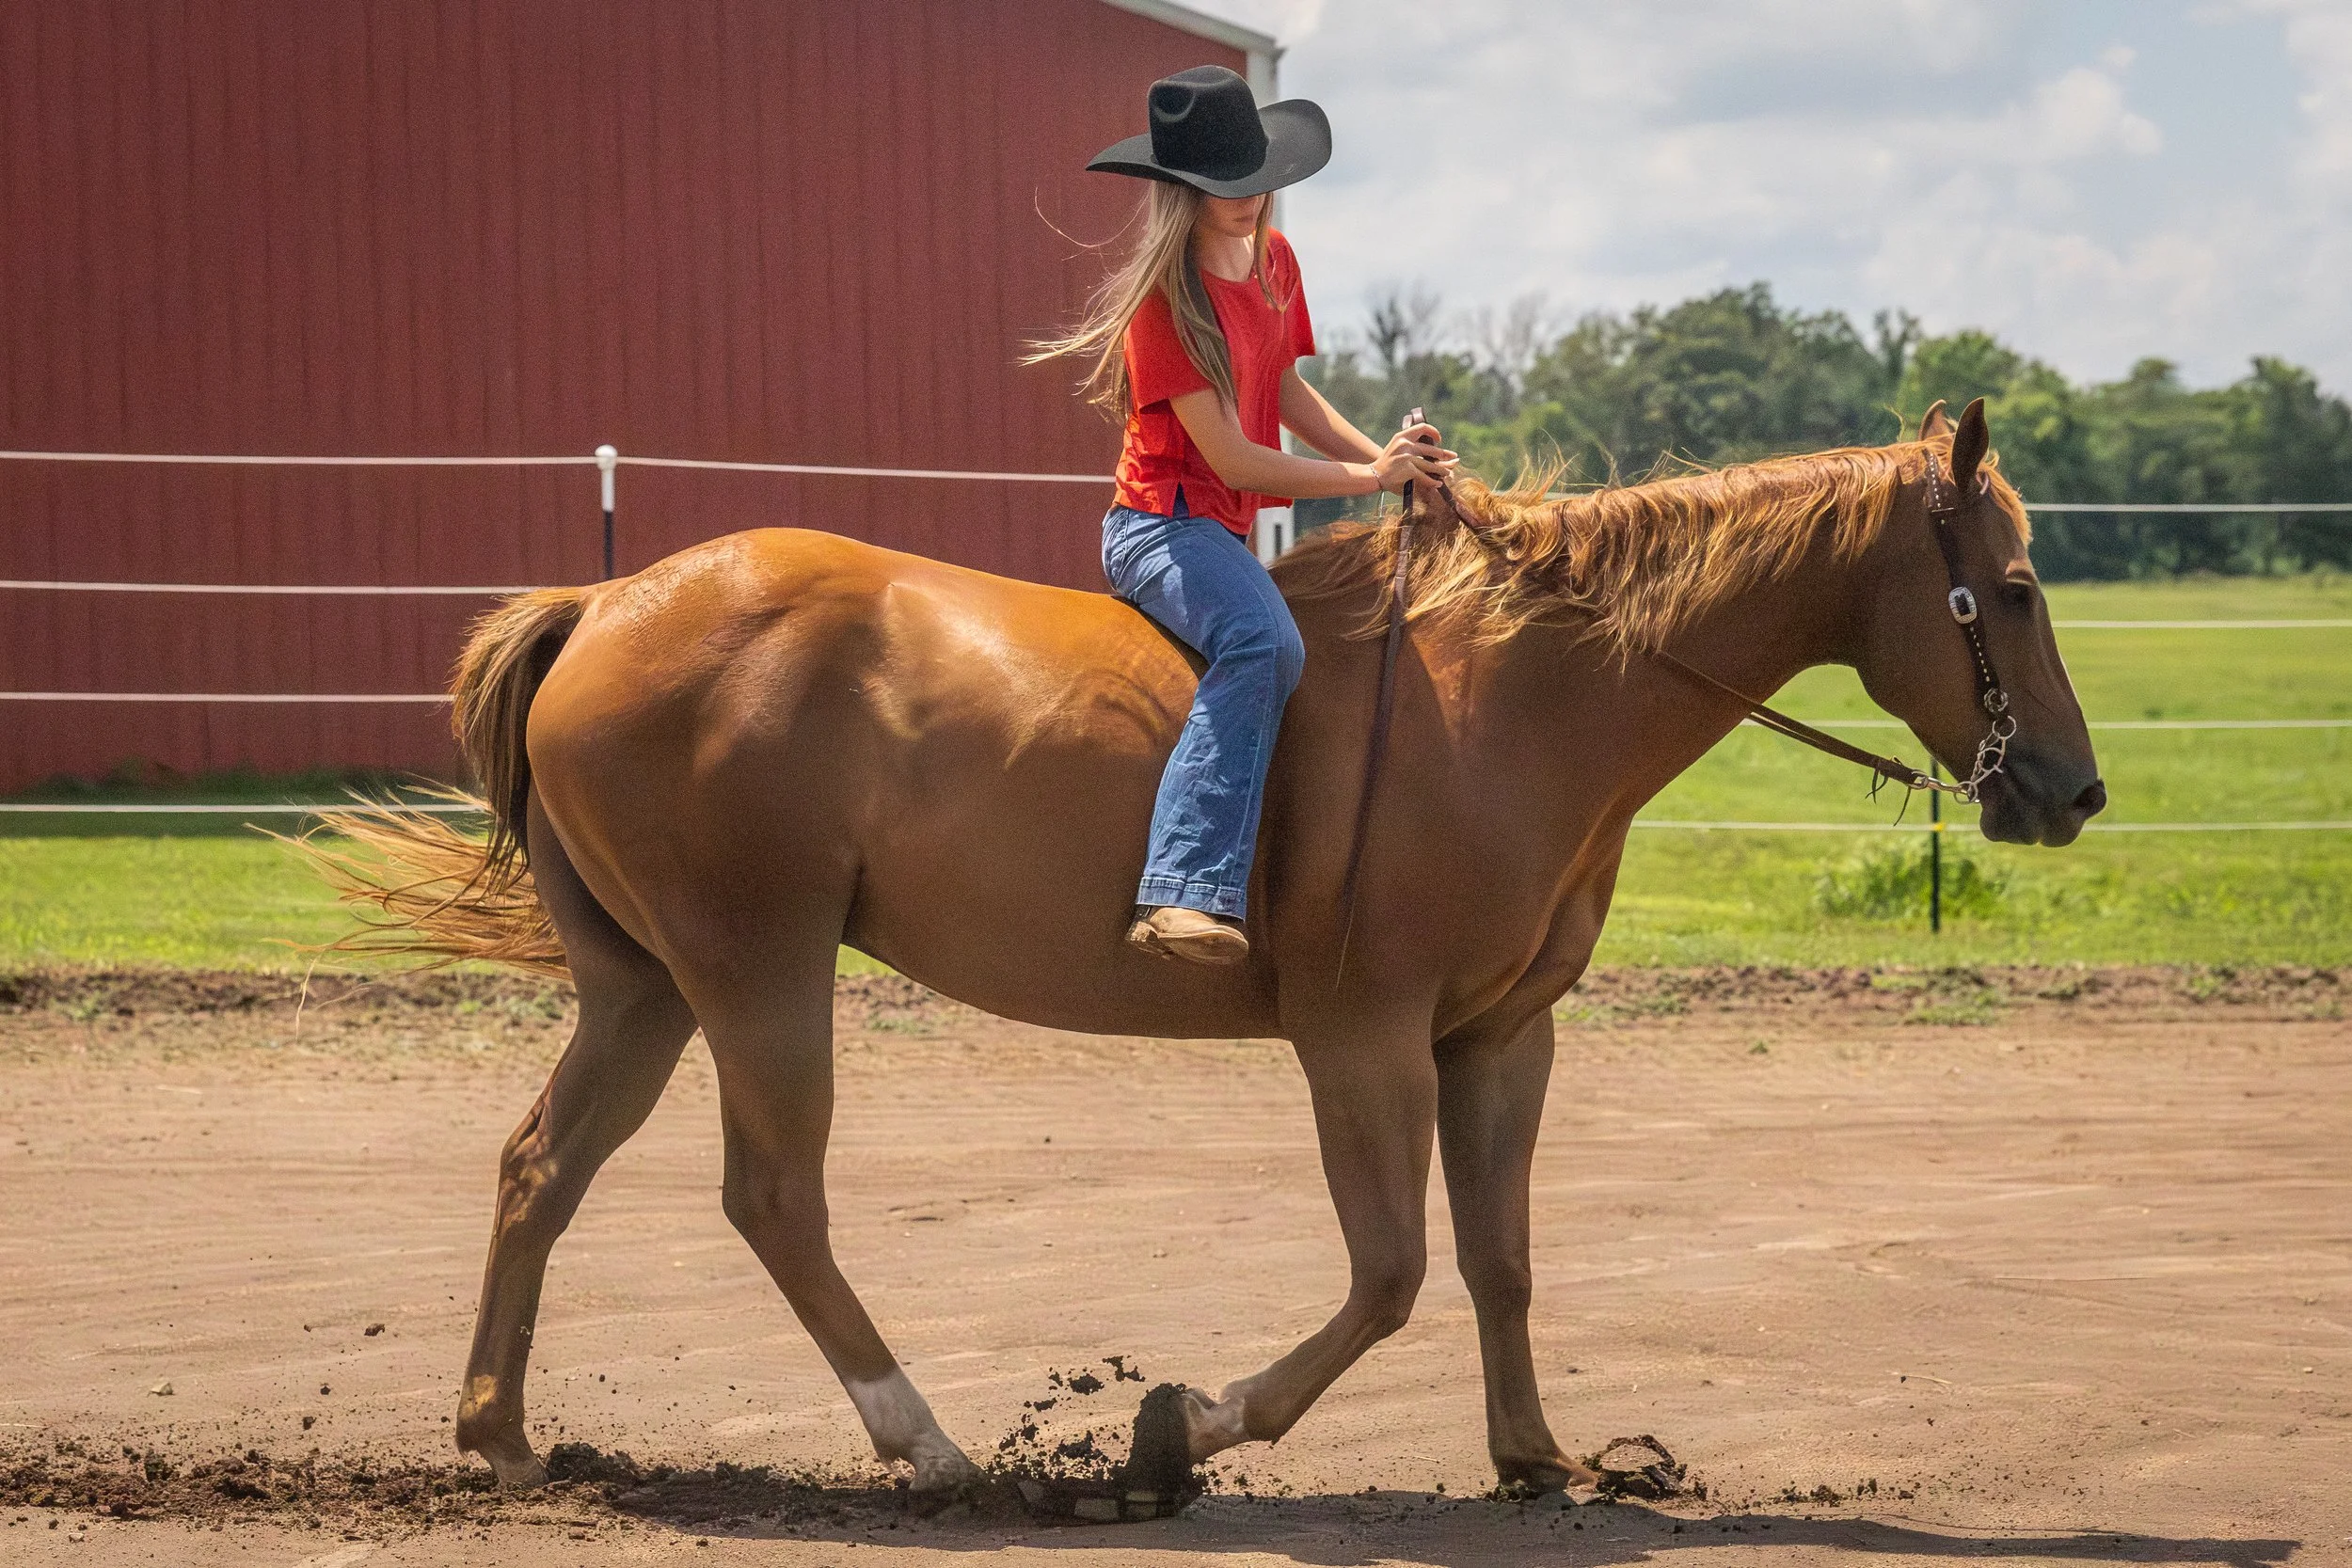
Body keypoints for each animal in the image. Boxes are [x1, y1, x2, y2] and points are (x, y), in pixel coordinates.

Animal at [317, 397, 2103, 1499]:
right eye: (2014, 586)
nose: (2073, 791)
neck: (1513, 694)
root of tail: (600, 607)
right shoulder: (1360, 1035)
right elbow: (1389, 1271)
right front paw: (1182, 1428)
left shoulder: (1499, 1037)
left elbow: (1501, 1258)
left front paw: (1536, 1456)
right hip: (757, 973)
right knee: (773, 1197)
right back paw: (925, 1441)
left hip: (646, 988)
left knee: (540, 1167)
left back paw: (501, 1435)